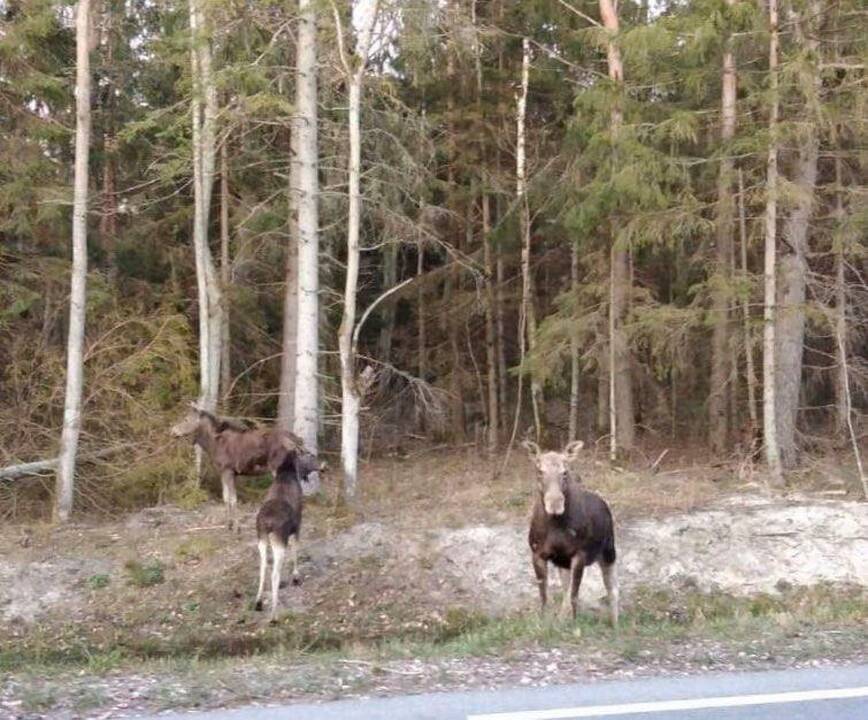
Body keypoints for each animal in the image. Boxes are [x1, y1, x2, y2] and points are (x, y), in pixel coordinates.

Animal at [169, 402, 312, 532]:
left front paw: (236, 528)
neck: (212, 445)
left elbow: (232, 499)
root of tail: (298, 442)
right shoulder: (226, 472)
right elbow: (226, 497)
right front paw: (228, 525)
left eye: (186, 419)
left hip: (279, 468)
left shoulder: (228, 470)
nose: (173, 431)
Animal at [254, 442, 322, 620]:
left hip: (261, 539)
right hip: (278, 540)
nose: (322, 465)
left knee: (263, 568)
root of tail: (267, 524)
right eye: (309, 454)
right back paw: (274, 614)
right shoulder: (298, 525)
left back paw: (258, 602)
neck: (290, 473)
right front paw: (296, 577)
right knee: (274, 574)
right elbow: (296, 550)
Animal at [524, 438, 616, 624]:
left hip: (608, 551)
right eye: (539, 471)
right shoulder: (538, 553)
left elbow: (573, 596)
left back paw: (615, 623)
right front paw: (547, 620)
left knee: (612, 590)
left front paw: (572, 622)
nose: (555, 503)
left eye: (565, 472)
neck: (555, 524)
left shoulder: (579, 554)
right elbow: (545, 596)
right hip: (563, 562)